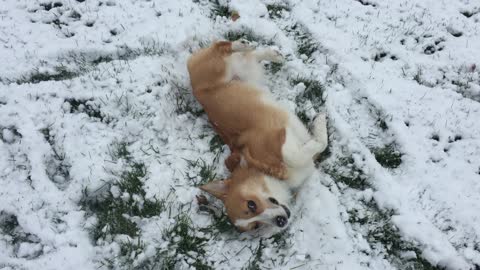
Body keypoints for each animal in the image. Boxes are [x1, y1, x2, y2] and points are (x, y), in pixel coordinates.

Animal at [186, 39, 328, 231]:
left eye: (251, 204)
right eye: (256, 226)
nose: (280, 222)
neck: (264, 170)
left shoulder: (279, 138)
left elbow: (297, 154)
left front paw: (319, 122)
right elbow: (313, 148)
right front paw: (319, 130)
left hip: (216, 69)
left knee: (222, 47)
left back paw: (244, 44)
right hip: (248, 75)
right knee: (247, 56)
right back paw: (270, 54)